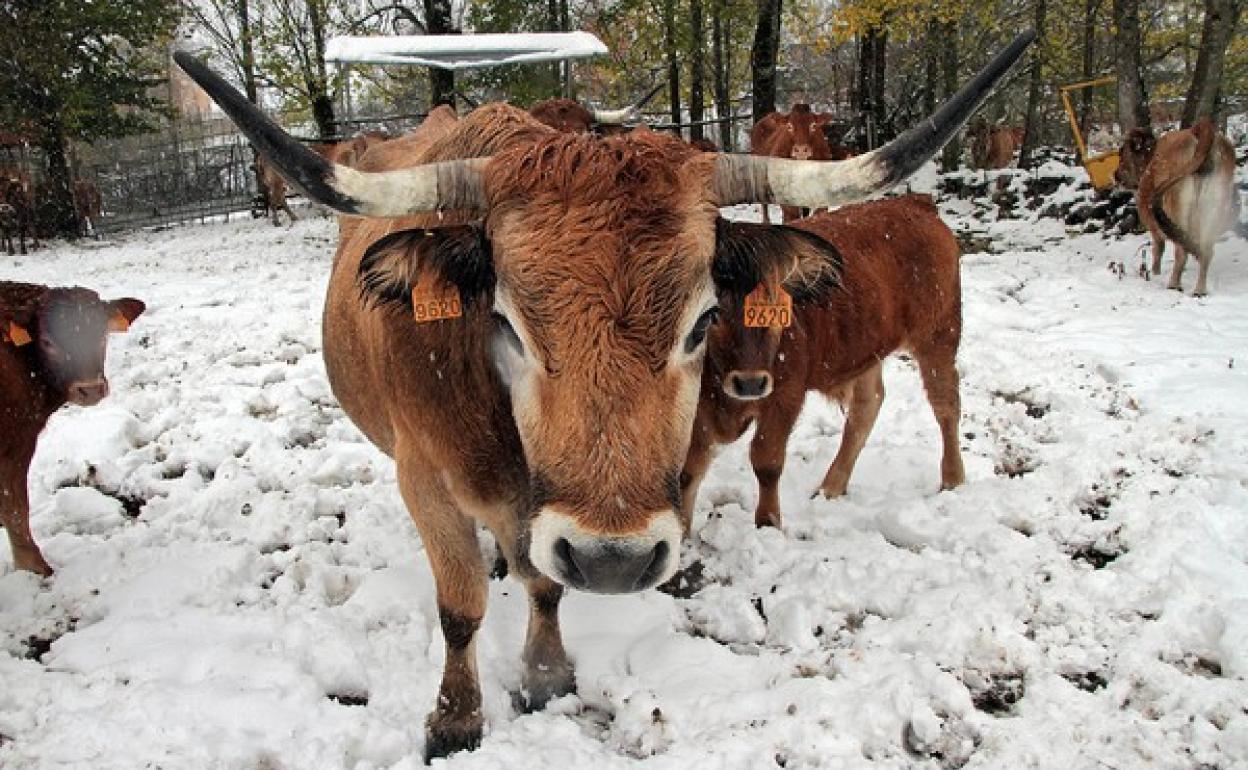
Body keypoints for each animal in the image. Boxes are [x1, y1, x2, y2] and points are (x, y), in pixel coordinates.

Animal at [1, 280, 143, 571]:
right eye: (47, 342)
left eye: (101, 335)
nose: (90, 389)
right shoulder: (16, 443)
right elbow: (16, 508)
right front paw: (37, 568)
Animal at [683, 194, 963, 529]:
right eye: (714, 313)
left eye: (778, 308)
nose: (750, 383)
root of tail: (916, 203)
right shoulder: (699, 405)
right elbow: (690, 469)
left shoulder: (786, 396)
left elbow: (766, 460)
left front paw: (768, 523)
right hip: (867, 351)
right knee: (867, 407)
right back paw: (832, 486)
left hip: (938, 337)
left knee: (946, 405)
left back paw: (952, 479)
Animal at [1143, 118, 1238, 295]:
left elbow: (1158, 247)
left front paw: (1155, 272)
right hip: (1215, 204)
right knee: (1206, 251)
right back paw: (1199, 290)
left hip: (1178, 207)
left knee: (1181, 251)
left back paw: (1174, 285)